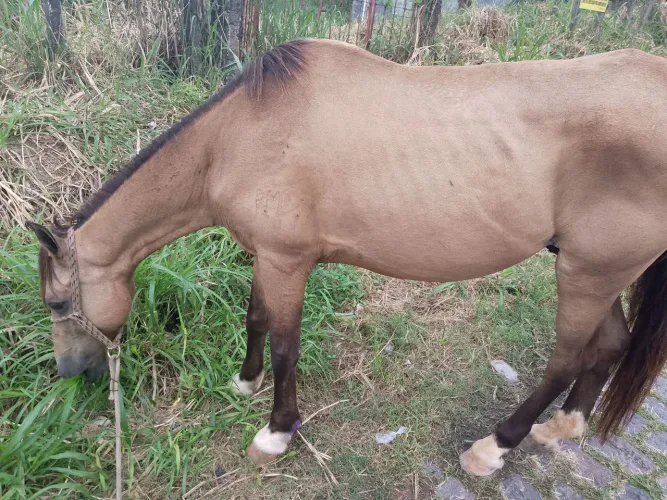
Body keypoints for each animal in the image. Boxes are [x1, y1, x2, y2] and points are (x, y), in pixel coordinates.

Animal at [28, 38, 667, 476]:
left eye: (57, 303)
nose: (71, 374)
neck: (237, 139)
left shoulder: (287, 261)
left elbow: (285, 344)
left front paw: (276, 433)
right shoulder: (268, 256)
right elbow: (256, 317)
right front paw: (244, 383)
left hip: (587, 272)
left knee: (566, 357)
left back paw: (494, 447)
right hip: (594, 269)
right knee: (607, 345)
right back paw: (563, 427)